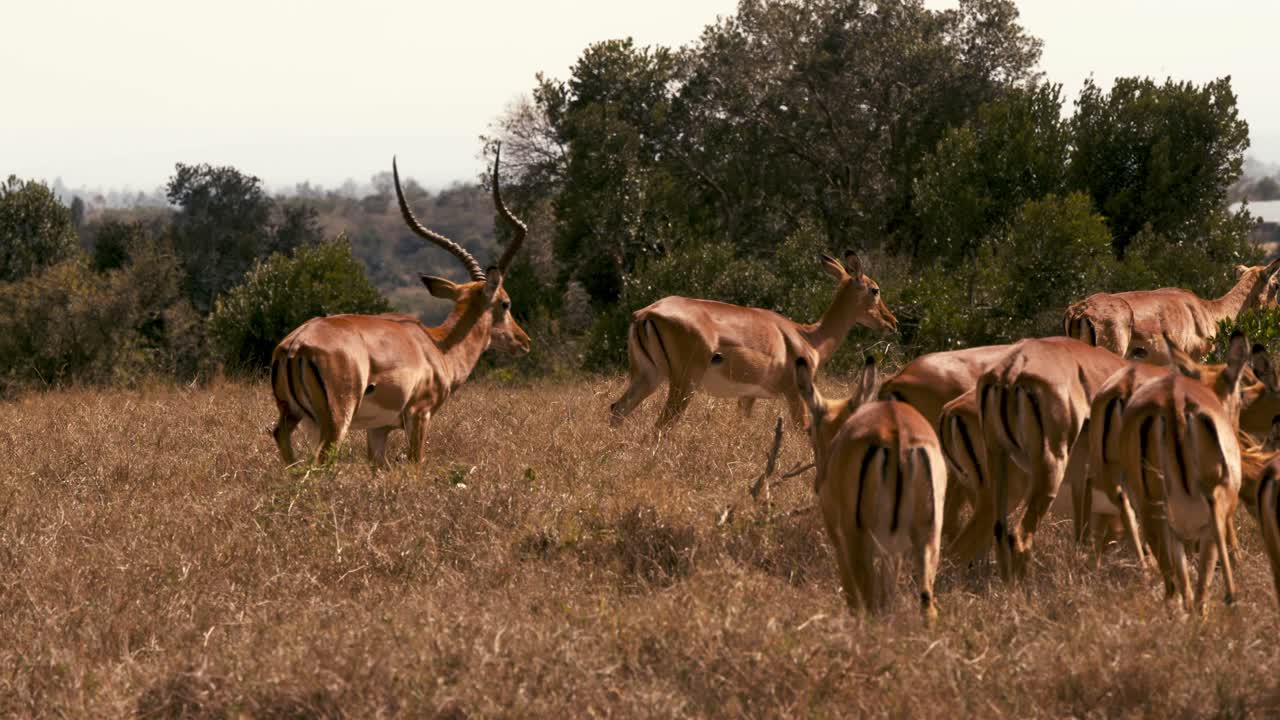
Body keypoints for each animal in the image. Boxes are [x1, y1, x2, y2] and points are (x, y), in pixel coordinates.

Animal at [270, 146, 530, 467]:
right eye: (506, 303)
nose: (524, 341)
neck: (437, 347)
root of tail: (295, 346)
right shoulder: (419, 415)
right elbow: (416, 463)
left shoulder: (378, 429)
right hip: (336, 421)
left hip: (292, 415)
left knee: (282, 441)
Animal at [609, 251, 897, 429]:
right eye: (875, 290)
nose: (892, 322)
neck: (809, 338)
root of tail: (646, 313)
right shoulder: (795, 394)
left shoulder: (747, 397)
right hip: (683, 383)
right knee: (662, 424)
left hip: (649, 376)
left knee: (617, 409)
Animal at [794, 354, 945, 622]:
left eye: (809, 429)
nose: (817, 484)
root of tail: (899, 435)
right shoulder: (891, 551)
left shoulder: (838, 536)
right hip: (928, 537)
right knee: (927, 607)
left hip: (859, 537)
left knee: (867, 601)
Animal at [1116, 331, 1256, 613]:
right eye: (1239, 396)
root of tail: (1176, 403)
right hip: (1207, 516)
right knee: (1198, 594)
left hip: (1154, 514)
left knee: (1180, 593)